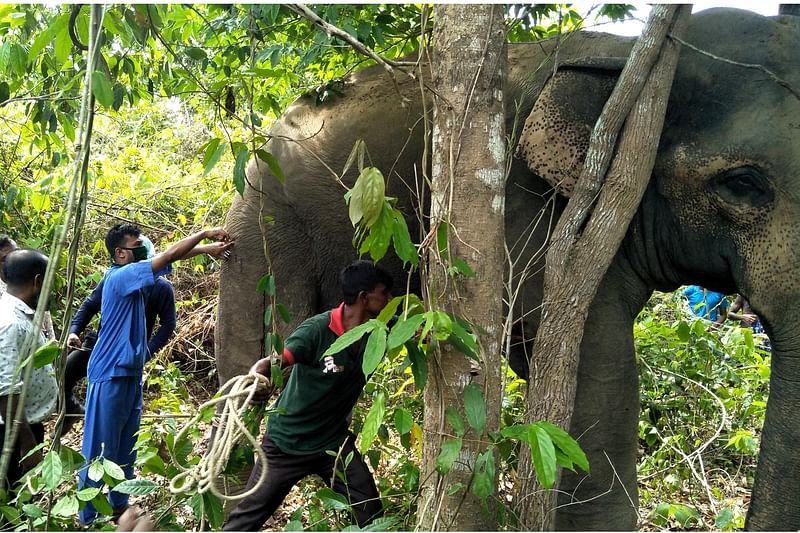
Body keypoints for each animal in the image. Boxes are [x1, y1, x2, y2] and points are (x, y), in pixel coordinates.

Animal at [217, 7, 800, 528]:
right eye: (743, 184)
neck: (631, 57)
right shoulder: (531, 209)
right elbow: (595, 368)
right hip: (265, 223)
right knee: (253, 366)